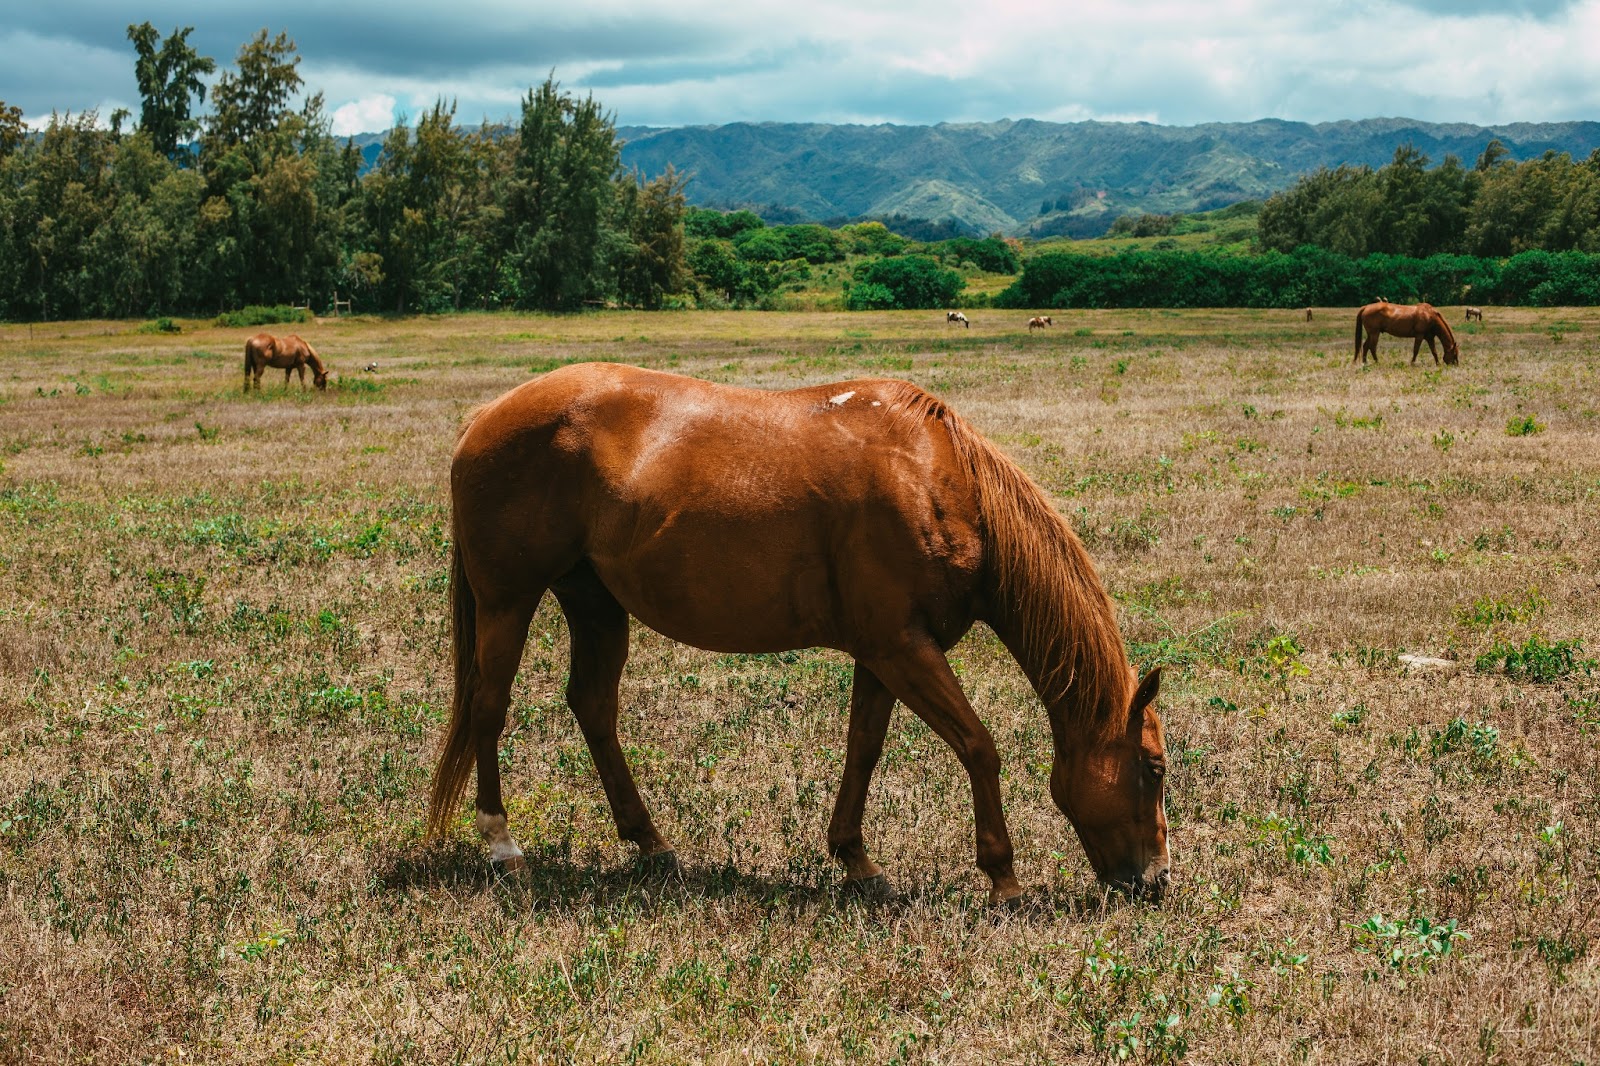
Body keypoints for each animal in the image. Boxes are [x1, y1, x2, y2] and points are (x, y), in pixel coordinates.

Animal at [425, 361, 1171, 902]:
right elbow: (978, 747)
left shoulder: (884, 653)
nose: (1156, 882)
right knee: (489, 708)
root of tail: (485, 417)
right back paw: (503, 846)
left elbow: (863, 749)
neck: (935, 480)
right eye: (1155, 768)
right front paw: (1003, 877)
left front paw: (857, 860)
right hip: (508, 601)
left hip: (596, 606)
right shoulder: (904, 649)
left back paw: (651, 843)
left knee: (592, 708)